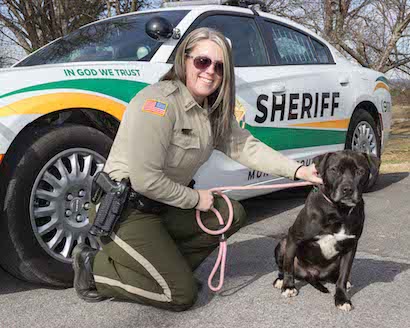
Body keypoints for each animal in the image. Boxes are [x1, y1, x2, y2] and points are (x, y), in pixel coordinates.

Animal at [272, 150, 382, 312]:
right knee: (284, 265)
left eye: (360, 171)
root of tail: (311, 275)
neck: (339, 211)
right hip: (283, 243)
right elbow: (288, 266)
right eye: (334, 170)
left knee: (337, 276)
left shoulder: (350, 247)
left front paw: (342, 298)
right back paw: (280, 280)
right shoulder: (293, 237)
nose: (347, 189)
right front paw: (288, 287)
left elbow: (343, 275)